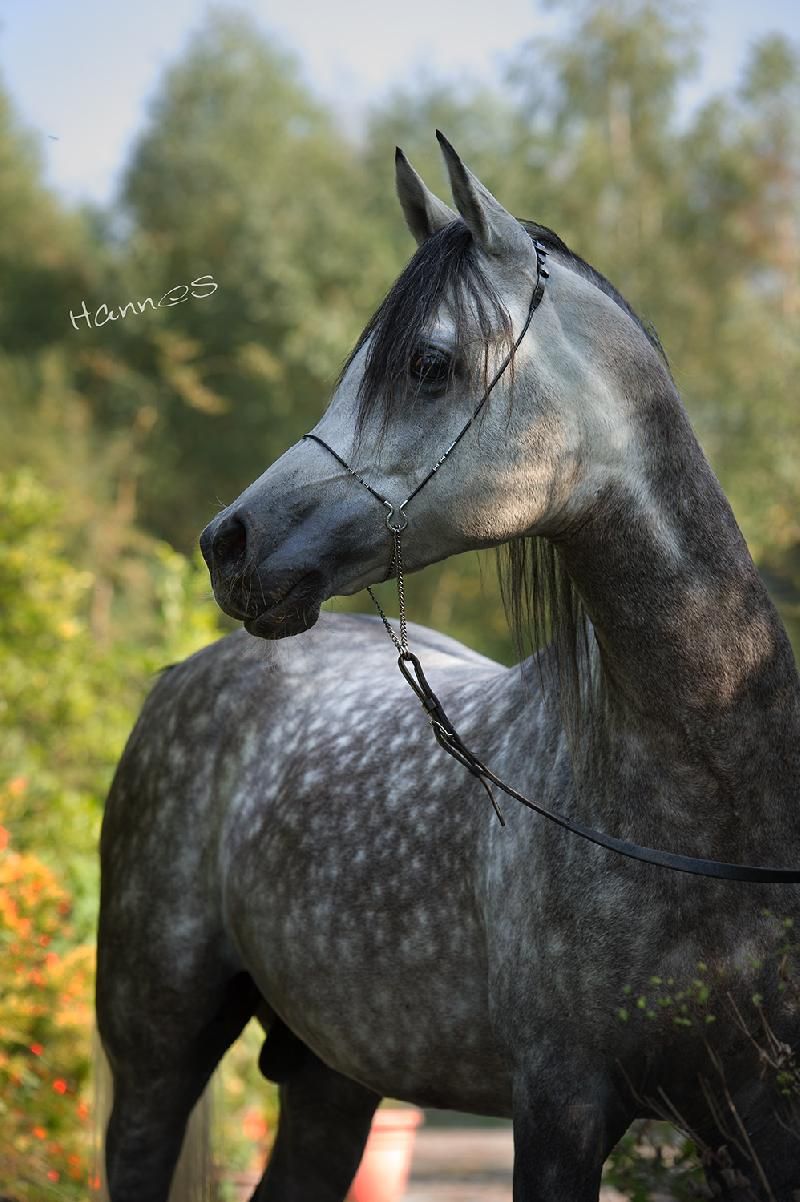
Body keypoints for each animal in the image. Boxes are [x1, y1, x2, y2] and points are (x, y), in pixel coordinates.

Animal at [96, 133, 800, 1201]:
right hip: (154, 1055)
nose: (227, 544)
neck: (709, 809)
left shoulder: (758, 1121)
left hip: (332, 1078)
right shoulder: (558, 1103)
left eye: (428, 363)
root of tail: (184, 674)